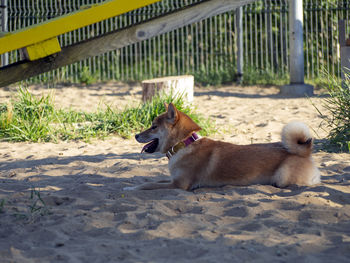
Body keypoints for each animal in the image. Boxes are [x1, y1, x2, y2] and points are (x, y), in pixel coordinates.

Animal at [123, 103, 320, 192]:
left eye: (153, 126)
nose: (136, 135)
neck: (185, 144)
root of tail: (305, 153)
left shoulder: (179, 185)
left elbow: (148, 184)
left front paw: (130, 189)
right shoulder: (173, 180)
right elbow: (153, 181)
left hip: (282, 178)